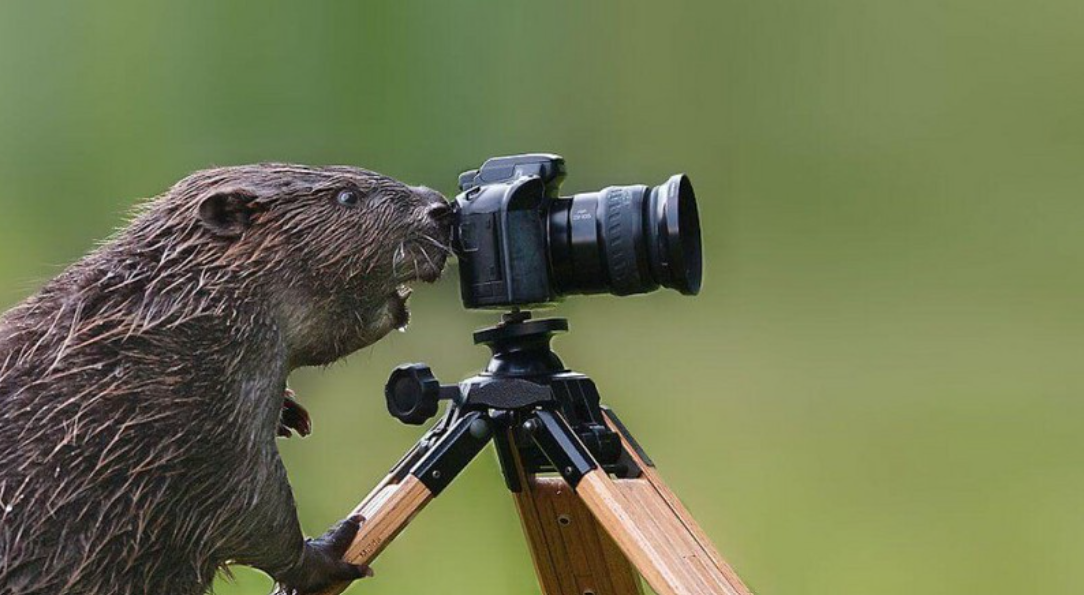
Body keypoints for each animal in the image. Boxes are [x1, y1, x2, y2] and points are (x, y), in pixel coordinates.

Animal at [0, 163, 453, 593]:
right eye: (347, 196)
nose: (440, 208)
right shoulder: (199, 411)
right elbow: (253, 507)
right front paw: (337, 545)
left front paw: (290, 414)